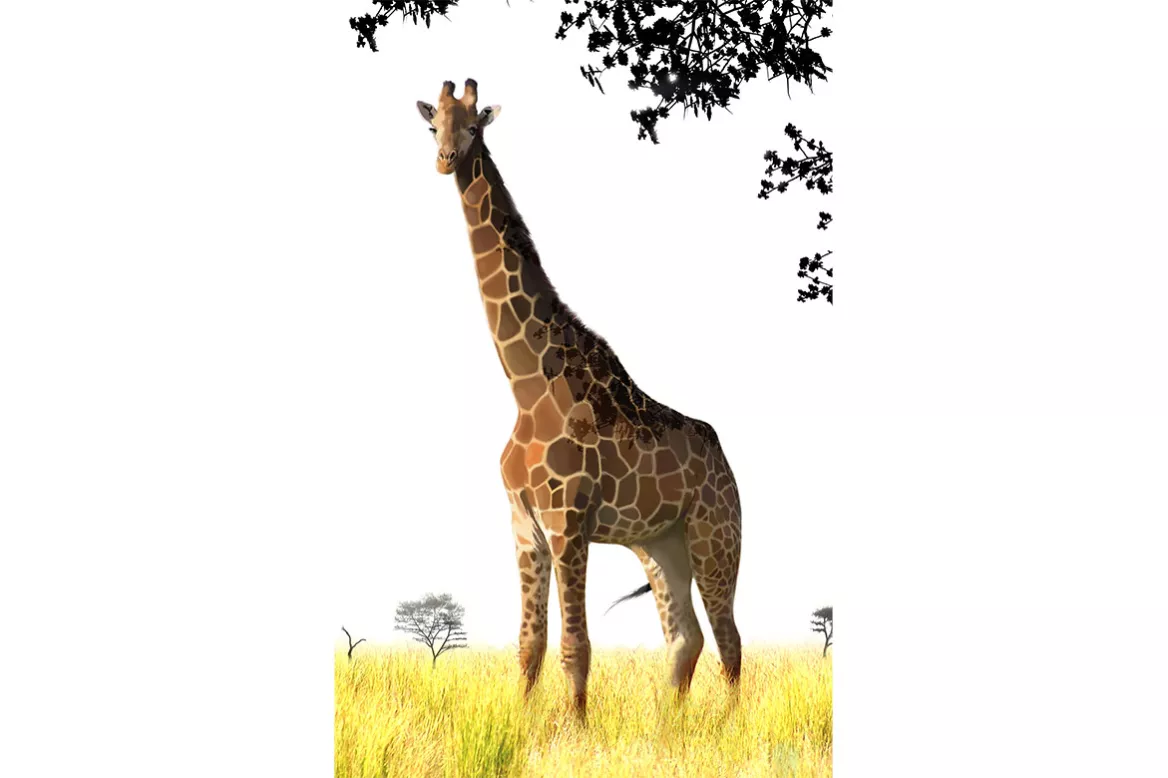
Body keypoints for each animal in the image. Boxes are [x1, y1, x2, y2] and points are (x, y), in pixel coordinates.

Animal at [416, 79, 743, 719]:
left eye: (474, 126)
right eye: (431, 125)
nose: (444, 160)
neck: (525, 385)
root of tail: (725, 460)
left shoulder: (568, 518)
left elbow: (574, 644)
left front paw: (575, 730)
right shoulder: (523, 523)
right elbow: (529, 644)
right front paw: (522, 725)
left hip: (716, 534)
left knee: (729, 637)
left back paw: (730, 727)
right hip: (659, 544)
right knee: (684, 637)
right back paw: (669, 728)